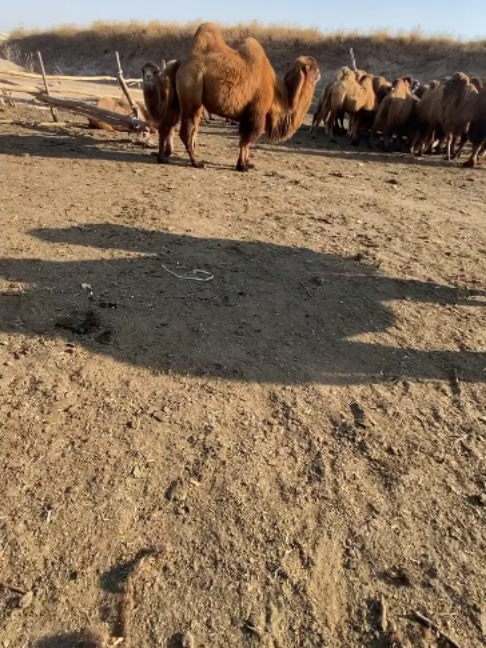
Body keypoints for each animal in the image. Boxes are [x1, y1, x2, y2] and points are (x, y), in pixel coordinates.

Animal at [157, 22, 320, 171]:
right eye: (314, 68)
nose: (320, 74)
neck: (278, 91)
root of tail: (180, 63)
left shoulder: (247, 114)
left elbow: (245, 140)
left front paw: (247, 163)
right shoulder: (257, 111)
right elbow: (246, 140)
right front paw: (242, 166)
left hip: (177, 98)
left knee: (167, 124)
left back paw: (162, 157)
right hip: (192, 91)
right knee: (186, 130)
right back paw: (196, 162)